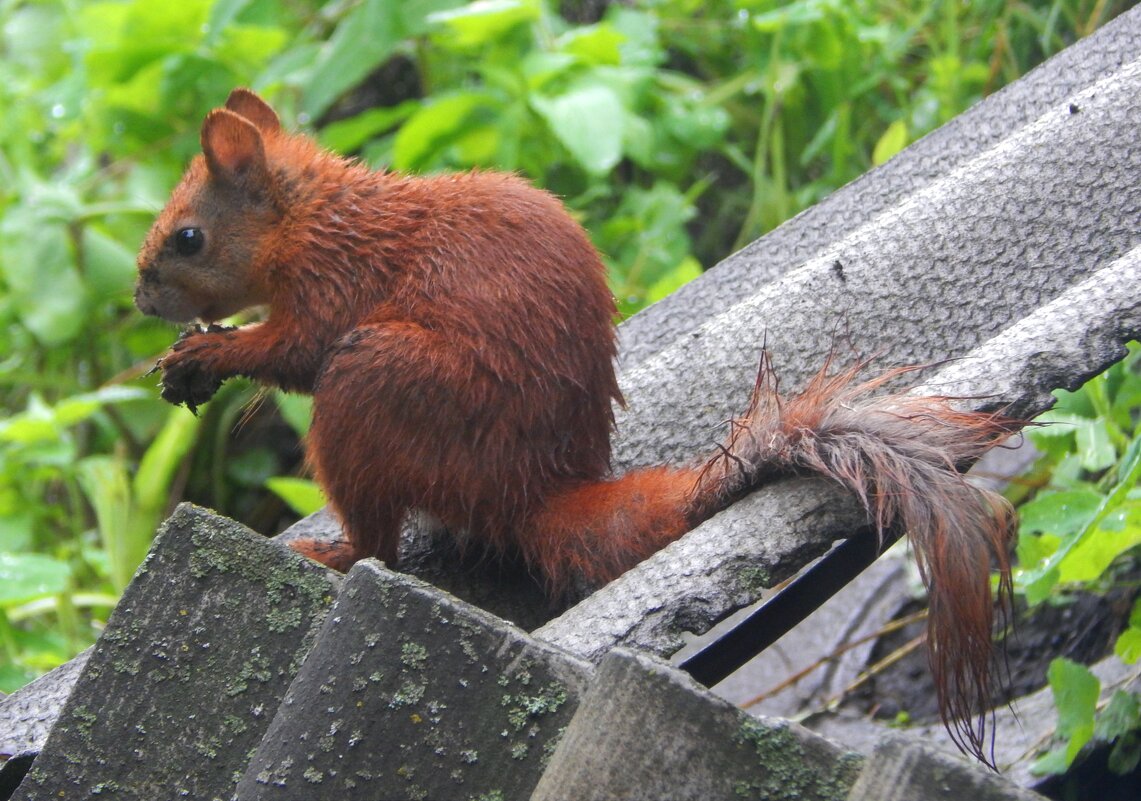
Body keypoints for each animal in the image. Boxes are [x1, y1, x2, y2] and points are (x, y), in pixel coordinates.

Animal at [138, 91, 1022, 762]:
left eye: (188, 237)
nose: (142, 297)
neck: (315, 218)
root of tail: (533, 493)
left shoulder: (335, 287)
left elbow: (293, 349)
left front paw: (207, 355)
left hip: (374, 377)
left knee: (378, 545)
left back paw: (334, 551)